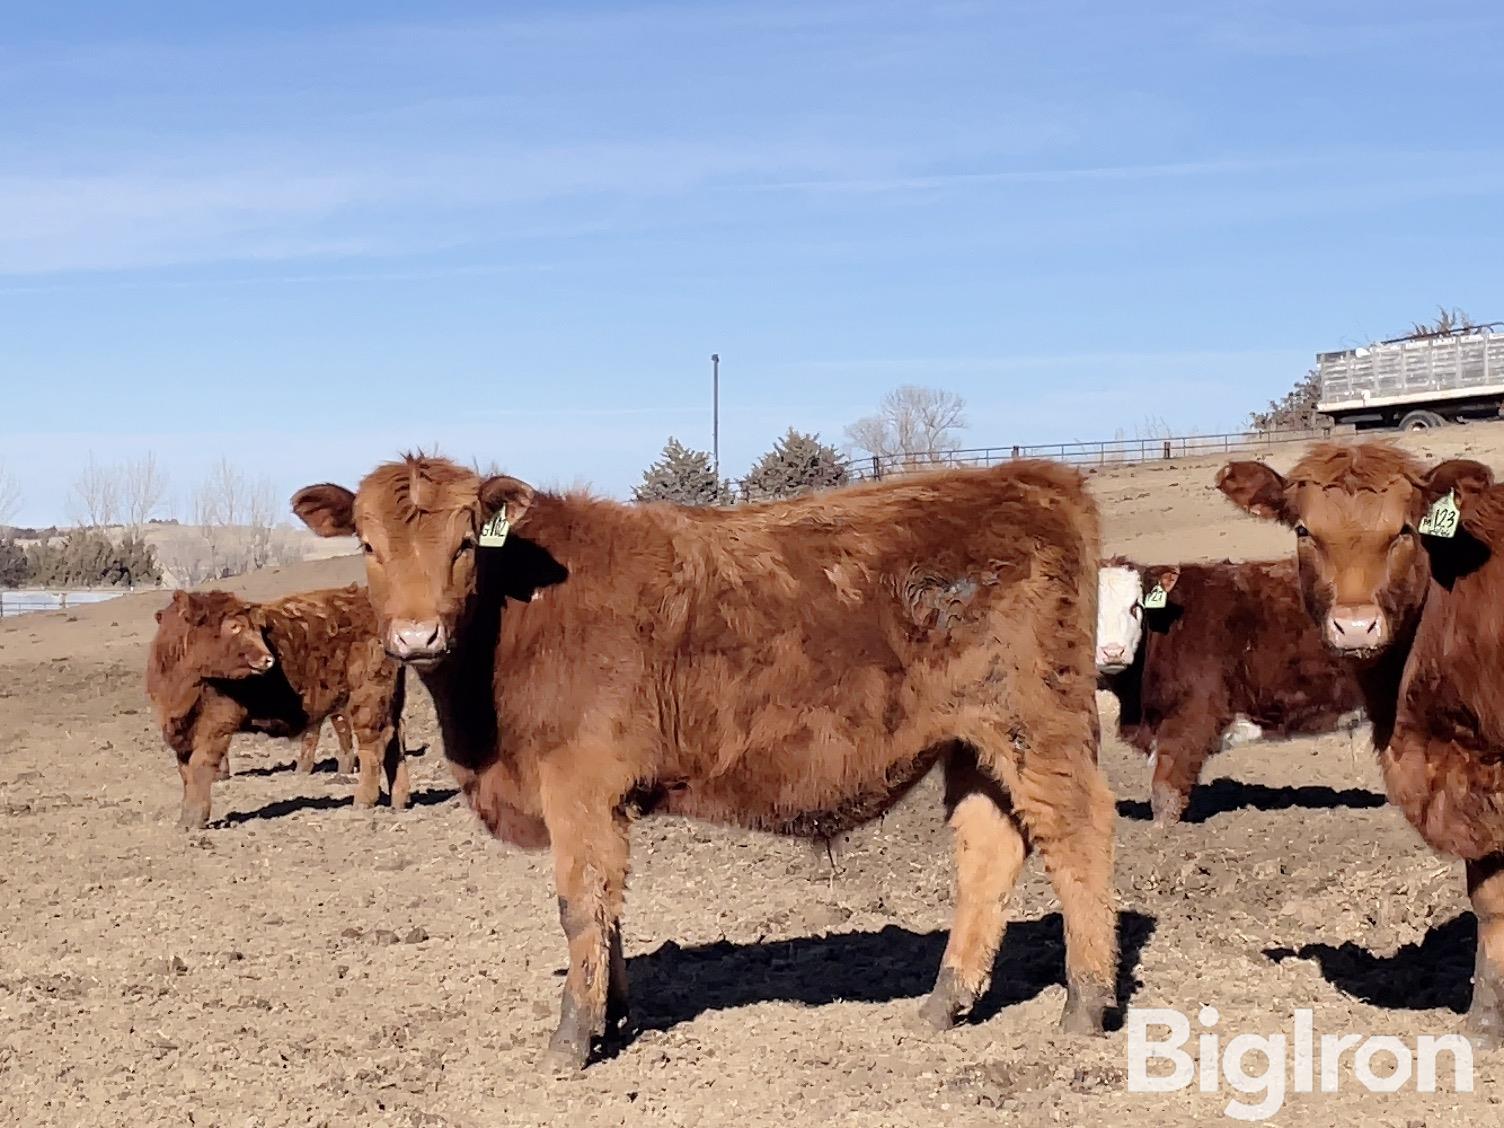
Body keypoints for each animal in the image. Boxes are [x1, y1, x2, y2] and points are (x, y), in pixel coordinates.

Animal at [144, 586, 409, 824]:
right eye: (234, 626)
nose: (268, 659)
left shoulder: (216, 725)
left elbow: (200, 767)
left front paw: (194, 820)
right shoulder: (179, 731)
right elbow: (185, 772)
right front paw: (184, 819)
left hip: (369, 698)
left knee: (373, 745)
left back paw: (363, 801)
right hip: (388, 701)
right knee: (395, 740)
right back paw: (398, 800)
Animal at [290, 454, 1118, 1070]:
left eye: (464, 542)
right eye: (367, 545)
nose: (416, 636)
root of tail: (1036, 476)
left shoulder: (579, 785)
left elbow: (580, 904)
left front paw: (571, 1038)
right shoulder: (601, 801)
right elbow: (610, 907)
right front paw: (614, 1017)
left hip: (1038, 726)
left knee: (1079, 836)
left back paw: (1084, 1003)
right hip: (973, 744)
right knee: (988, 850)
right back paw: (947, 1000)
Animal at [1215, 445, 1504, 1046]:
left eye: (1404, 531)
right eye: (1304, 530)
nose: (1354, 627)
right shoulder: (1468, 773)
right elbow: (1490, 899)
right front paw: (1486, 1023)